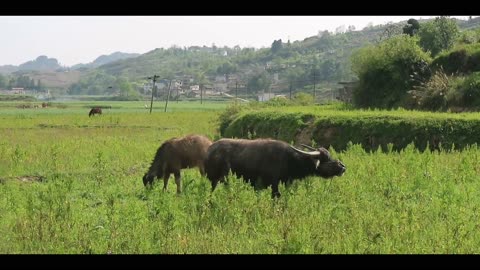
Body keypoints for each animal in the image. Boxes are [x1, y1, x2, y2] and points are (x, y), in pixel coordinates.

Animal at [204, 138, 346, 197]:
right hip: (214, 181)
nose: (343, 167)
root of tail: (210, 150)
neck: (289, 160)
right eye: (325, 159)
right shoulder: (274, 187)